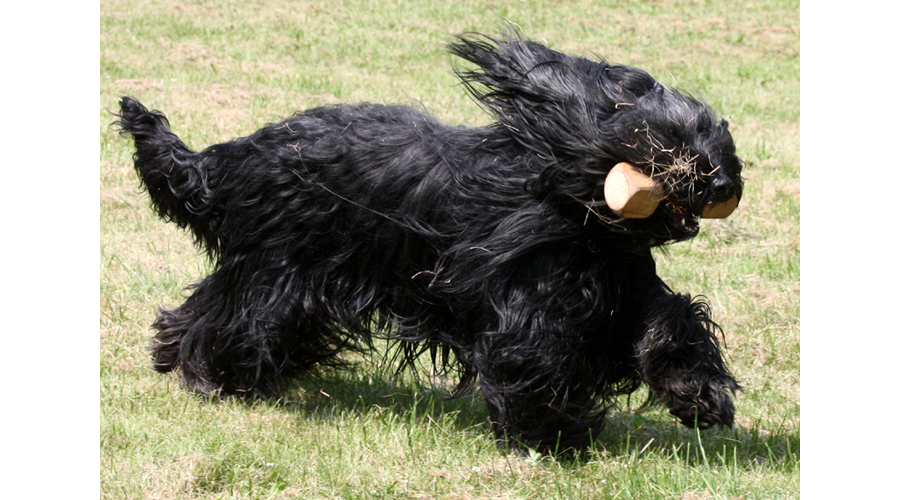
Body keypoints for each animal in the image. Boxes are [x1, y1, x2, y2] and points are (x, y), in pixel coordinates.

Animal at [116, 30, 740, 454]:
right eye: (668, 139)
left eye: (716, 131)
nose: (724, 184)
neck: (580, 213)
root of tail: (235, 157)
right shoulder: (527, 300)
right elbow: (535, 357)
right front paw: (553, 436)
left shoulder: (621, 286)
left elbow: (670, 324)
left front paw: (702, 397)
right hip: (281, 268)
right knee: (235, 314)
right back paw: (209, 373)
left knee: (220, 306)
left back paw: (177, 353)